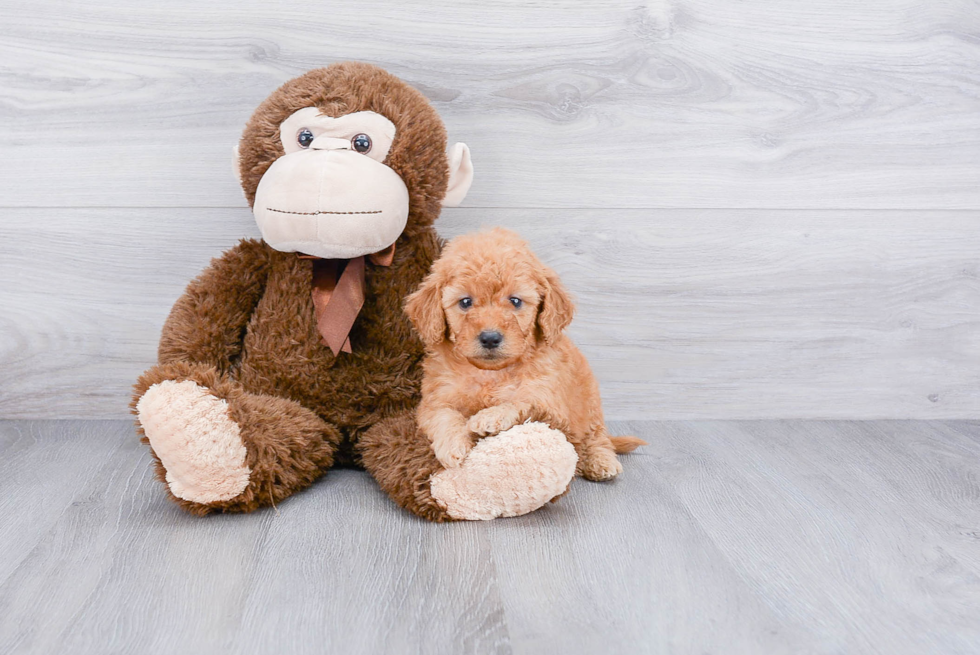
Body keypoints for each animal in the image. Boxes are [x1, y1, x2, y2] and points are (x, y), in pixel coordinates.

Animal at [402, 229, 648, 482]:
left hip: (590, 403)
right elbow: (444, 416)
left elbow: (521, 402)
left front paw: (489, 416)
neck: (490, 373)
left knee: (597, 436)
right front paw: (454, 445)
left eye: (515, 301)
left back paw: (601, 460)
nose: (490, 338)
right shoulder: (435, 399)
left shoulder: (550, 403)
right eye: (465, 302)